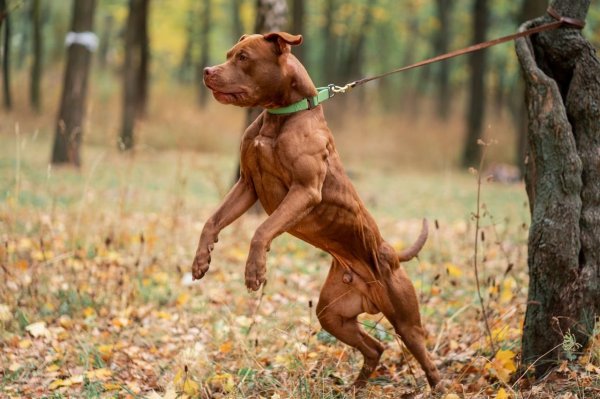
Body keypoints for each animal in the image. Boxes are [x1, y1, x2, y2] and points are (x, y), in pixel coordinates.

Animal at [192, 32, 440, 392]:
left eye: (244, 58)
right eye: (228, 55)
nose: (208, 71)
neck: (281, 115)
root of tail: (392, 255)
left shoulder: (304, 190)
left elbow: (261, 230)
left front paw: (255, 271)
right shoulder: (247, 185)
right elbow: (212, 221)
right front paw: (201, 261)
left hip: (405, 320)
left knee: (424, 356)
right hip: (333, 316)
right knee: (375, 347)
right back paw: (356, 387)